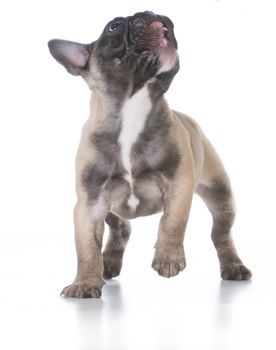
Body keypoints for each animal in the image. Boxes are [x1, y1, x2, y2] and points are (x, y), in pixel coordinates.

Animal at [48, 10, 251, 298]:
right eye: (114, 26)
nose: (152, 14)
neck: (134, 106)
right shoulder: (90, 204)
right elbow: (86, 247)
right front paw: (85, 283)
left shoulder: (179, 184)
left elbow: (172, 220)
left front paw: (168, 258)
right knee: (121, 229)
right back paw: (108, 262)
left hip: (221, 194)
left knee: (221, 234)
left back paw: (233, 266)